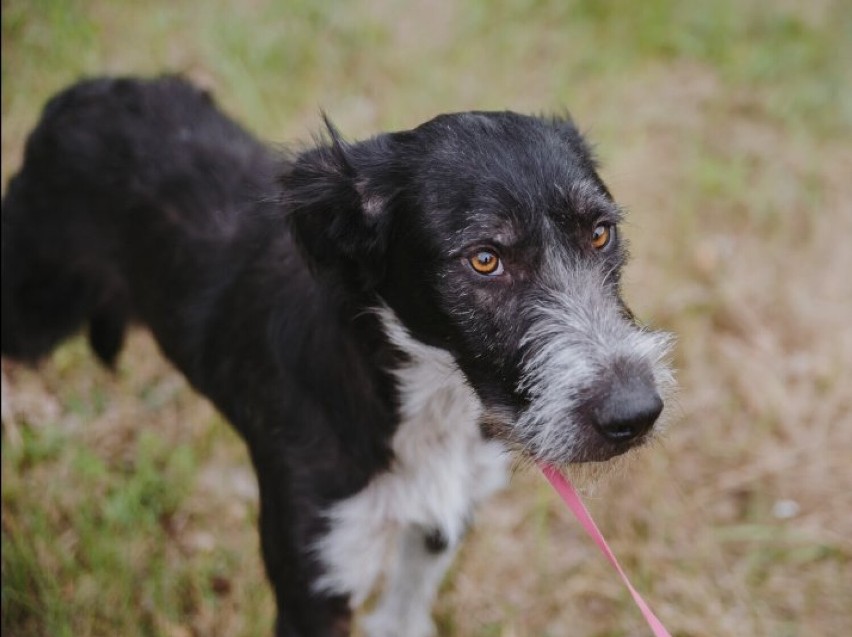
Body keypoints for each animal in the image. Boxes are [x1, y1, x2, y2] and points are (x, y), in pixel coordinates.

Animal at [3, 77, 676, 632]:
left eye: (600, 233)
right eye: (485, 259)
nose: (635, 414)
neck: (427, 399)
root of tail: (82, 91)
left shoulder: (439, 523)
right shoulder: (315, 578)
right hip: (33, 303)